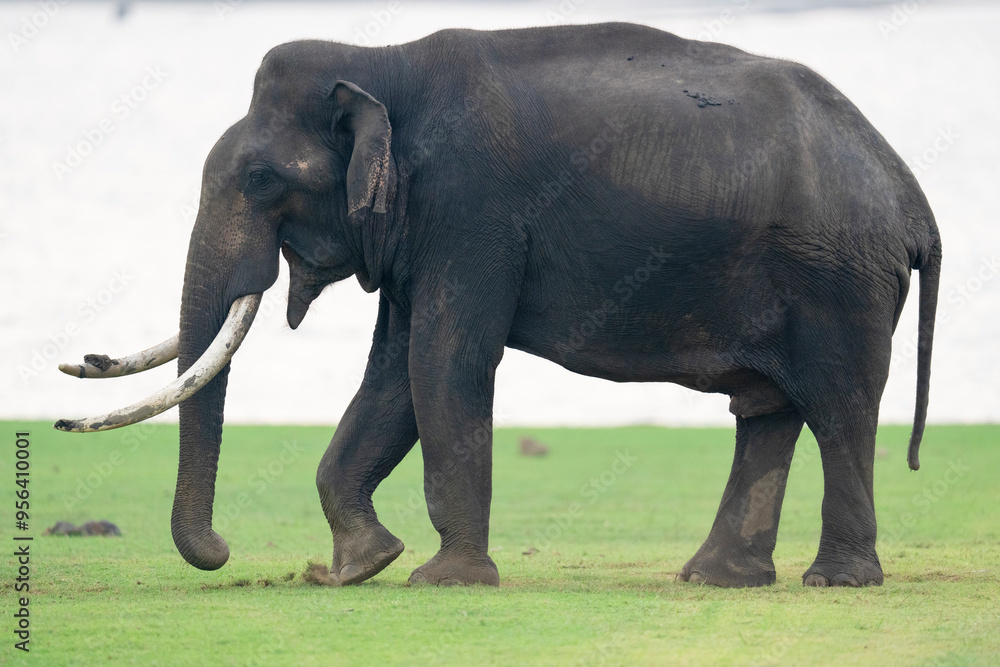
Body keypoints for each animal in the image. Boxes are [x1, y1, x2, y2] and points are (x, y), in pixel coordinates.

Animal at [57, 22, 941, 589]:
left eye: (262, 180)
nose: (224, 549)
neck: (382, 62)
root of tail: (912, 199)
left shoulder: (469, 208)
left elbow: (443, 359)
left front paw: (442, 578)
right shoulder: (421, 230)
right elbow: (393, 375)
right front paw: (357, 568)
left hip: (839, 281)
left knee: (838, 408)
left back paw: (836, 581)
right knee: (767, 410)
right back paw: (715, 579)